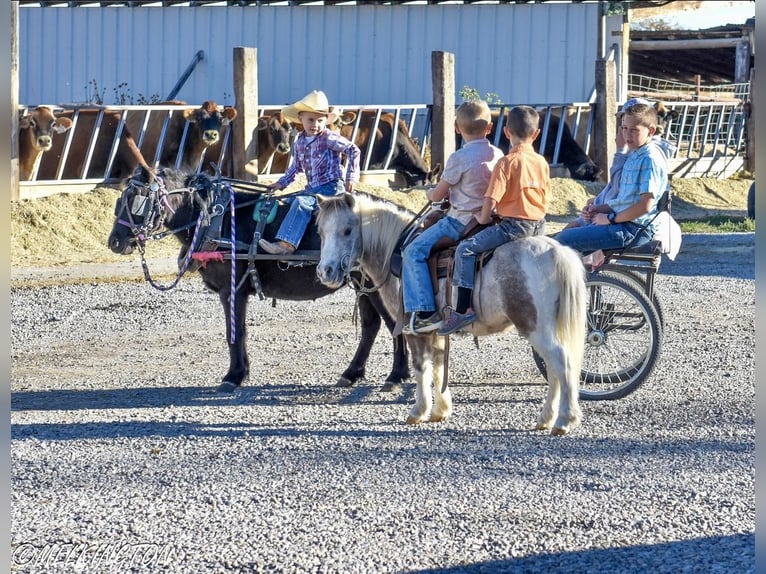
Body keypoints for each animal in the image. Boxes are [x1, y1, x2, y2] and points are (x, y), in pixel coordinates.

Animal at [109, 164, 412, 394]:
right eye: (120, 199)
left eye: (138, 200)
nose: (115, 241)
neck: (217, 219)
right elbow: (238, 331)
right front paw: (240, 372)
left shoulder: (232, 289)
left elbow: (235, 331)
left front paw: (234, 376)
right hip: (363, 283)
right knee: (372, 326)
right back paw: (352, 373)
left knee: (392, 323)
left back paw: (396, 375)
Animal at [316, 194, 588, 436]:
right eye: (320, 232)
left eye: (347, 230)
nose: (325, 271)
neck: (397, 253)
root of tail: (555, 251)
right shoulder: (434, 330)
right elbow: (438, 367)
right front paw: (440, 410)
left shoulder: (412, 329)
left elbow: (421, 367)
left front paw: (419, 411)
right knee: (553, 369)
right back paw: (546, 418)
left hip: (536, 329)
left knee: (562, 363)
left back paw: (564, 420)